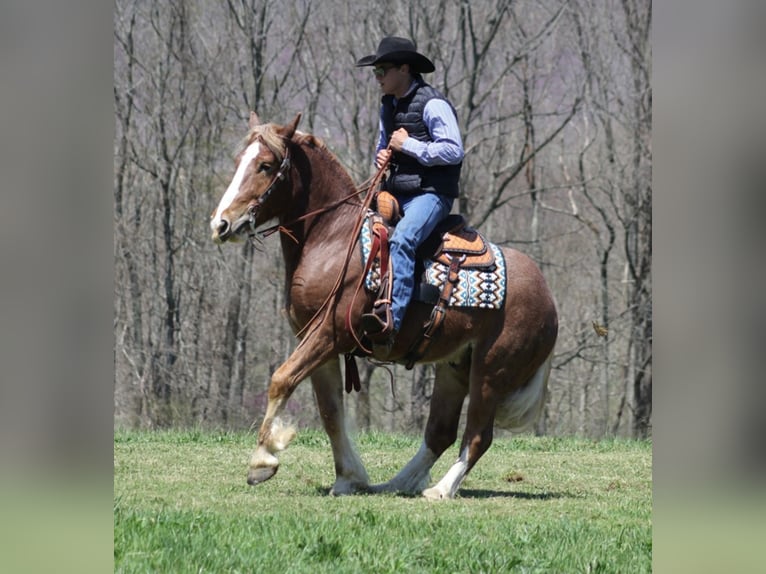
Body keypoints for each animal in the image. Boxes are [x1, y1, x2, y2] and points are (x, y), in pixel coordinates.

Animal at [210, 112, 560, 500]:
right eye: (239, 162)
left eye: (266, 165)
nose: (221, 224)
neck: (332, 238)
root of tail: (548, 297)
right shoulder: (316, 342)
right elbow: (330, 412)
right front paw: (349, 477)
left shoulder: (331, 333)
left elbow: (280, 380)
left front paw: (262, 461)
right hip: (454, 367)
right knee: (440, 433)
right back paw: (397, 484)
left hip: (490, 372)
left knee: (478, 436)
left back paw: (440, 490)